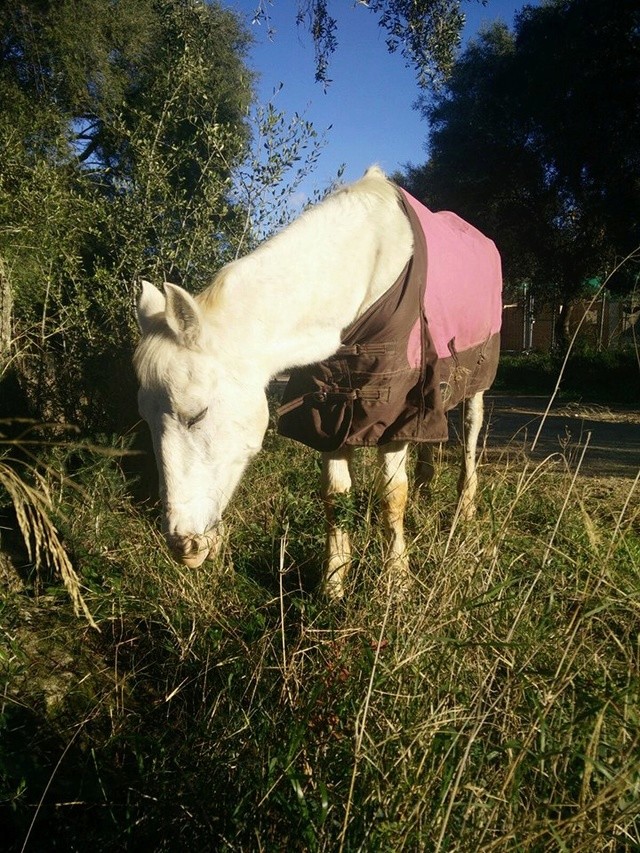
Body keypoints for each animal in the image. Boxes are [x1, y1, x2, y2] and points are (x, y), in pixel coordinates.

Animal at [134, 168, 500, 600]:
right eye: (146, 419)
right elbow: (335, 497)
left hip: (476, 379)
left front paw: (396, 582)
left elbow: (392, 496)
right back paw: (428, 489)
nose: (183, 545)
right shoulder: (330, 410)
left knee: (471, 432)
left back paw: (466, 507)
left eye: (198, 414)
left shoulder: (395, 410)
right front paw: (333, 585)